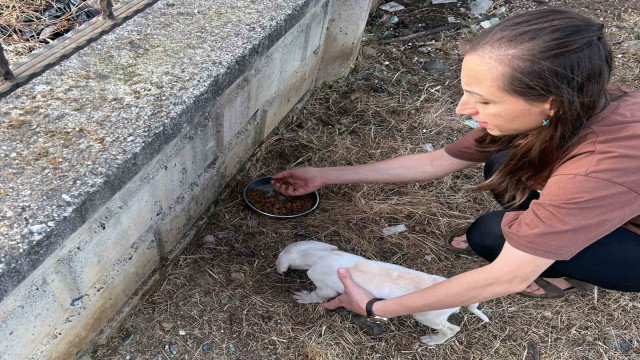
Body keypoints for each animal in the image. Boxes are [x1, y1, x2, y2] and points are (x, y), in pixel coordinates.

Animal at [276, 240, 490, 344]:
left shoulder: (325, 288)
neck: (319, 256)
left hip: (426, 316)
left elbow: (318, 296)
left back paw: (433, 340)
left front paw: (304, 297)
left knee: (452, 329)